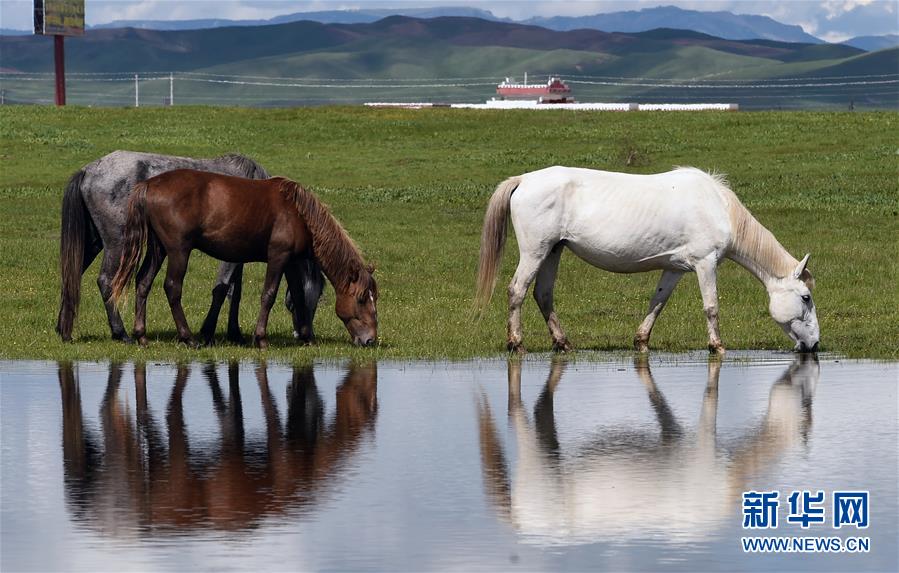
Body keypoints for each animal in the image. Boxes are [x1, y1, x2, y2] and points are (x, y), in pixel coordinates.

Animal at [57, 150, 324, 342]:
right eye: (301, 300)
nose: (305, 334)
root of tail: (89, 170)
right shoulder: (231, 254)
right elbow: (222, 288)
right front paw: (208, 331)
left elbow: (234, 292)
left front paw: (234, 332)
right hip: (118, 242)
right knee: (106, 281)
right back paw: (120, 332)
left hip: (93, 243)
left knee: (71, 276)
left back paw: (63, 329)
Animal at [110, 169, 378, 348]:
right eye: (362, 299)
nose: (370, 340)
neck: (298, 213)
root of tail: (149, 184)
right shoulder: (278, 257)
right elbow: (268, 295)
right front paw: (261, 339)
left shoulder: (291, 262)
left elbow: (299, 296)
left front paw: (307, 337)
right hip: (178, 251)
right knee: (172, 288)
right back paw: (189, 338)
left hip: (158, 249)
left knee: (143, 282)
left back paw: (141, 335)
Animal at [478, 165, 824, 354]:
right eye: (805, 298)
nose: (814, 345)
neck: (718, 207)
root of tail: (523, 180)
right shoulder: (705, 263)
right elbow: (711, 306)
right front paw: (717, 345)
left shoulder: (674, 269)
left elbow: (657, 302)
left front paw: (641, 341)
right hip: (535, 251)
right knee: (517, 291)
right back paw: (517, 343)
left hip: (553, 250)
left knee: (543, 294)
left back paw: (563, 343)